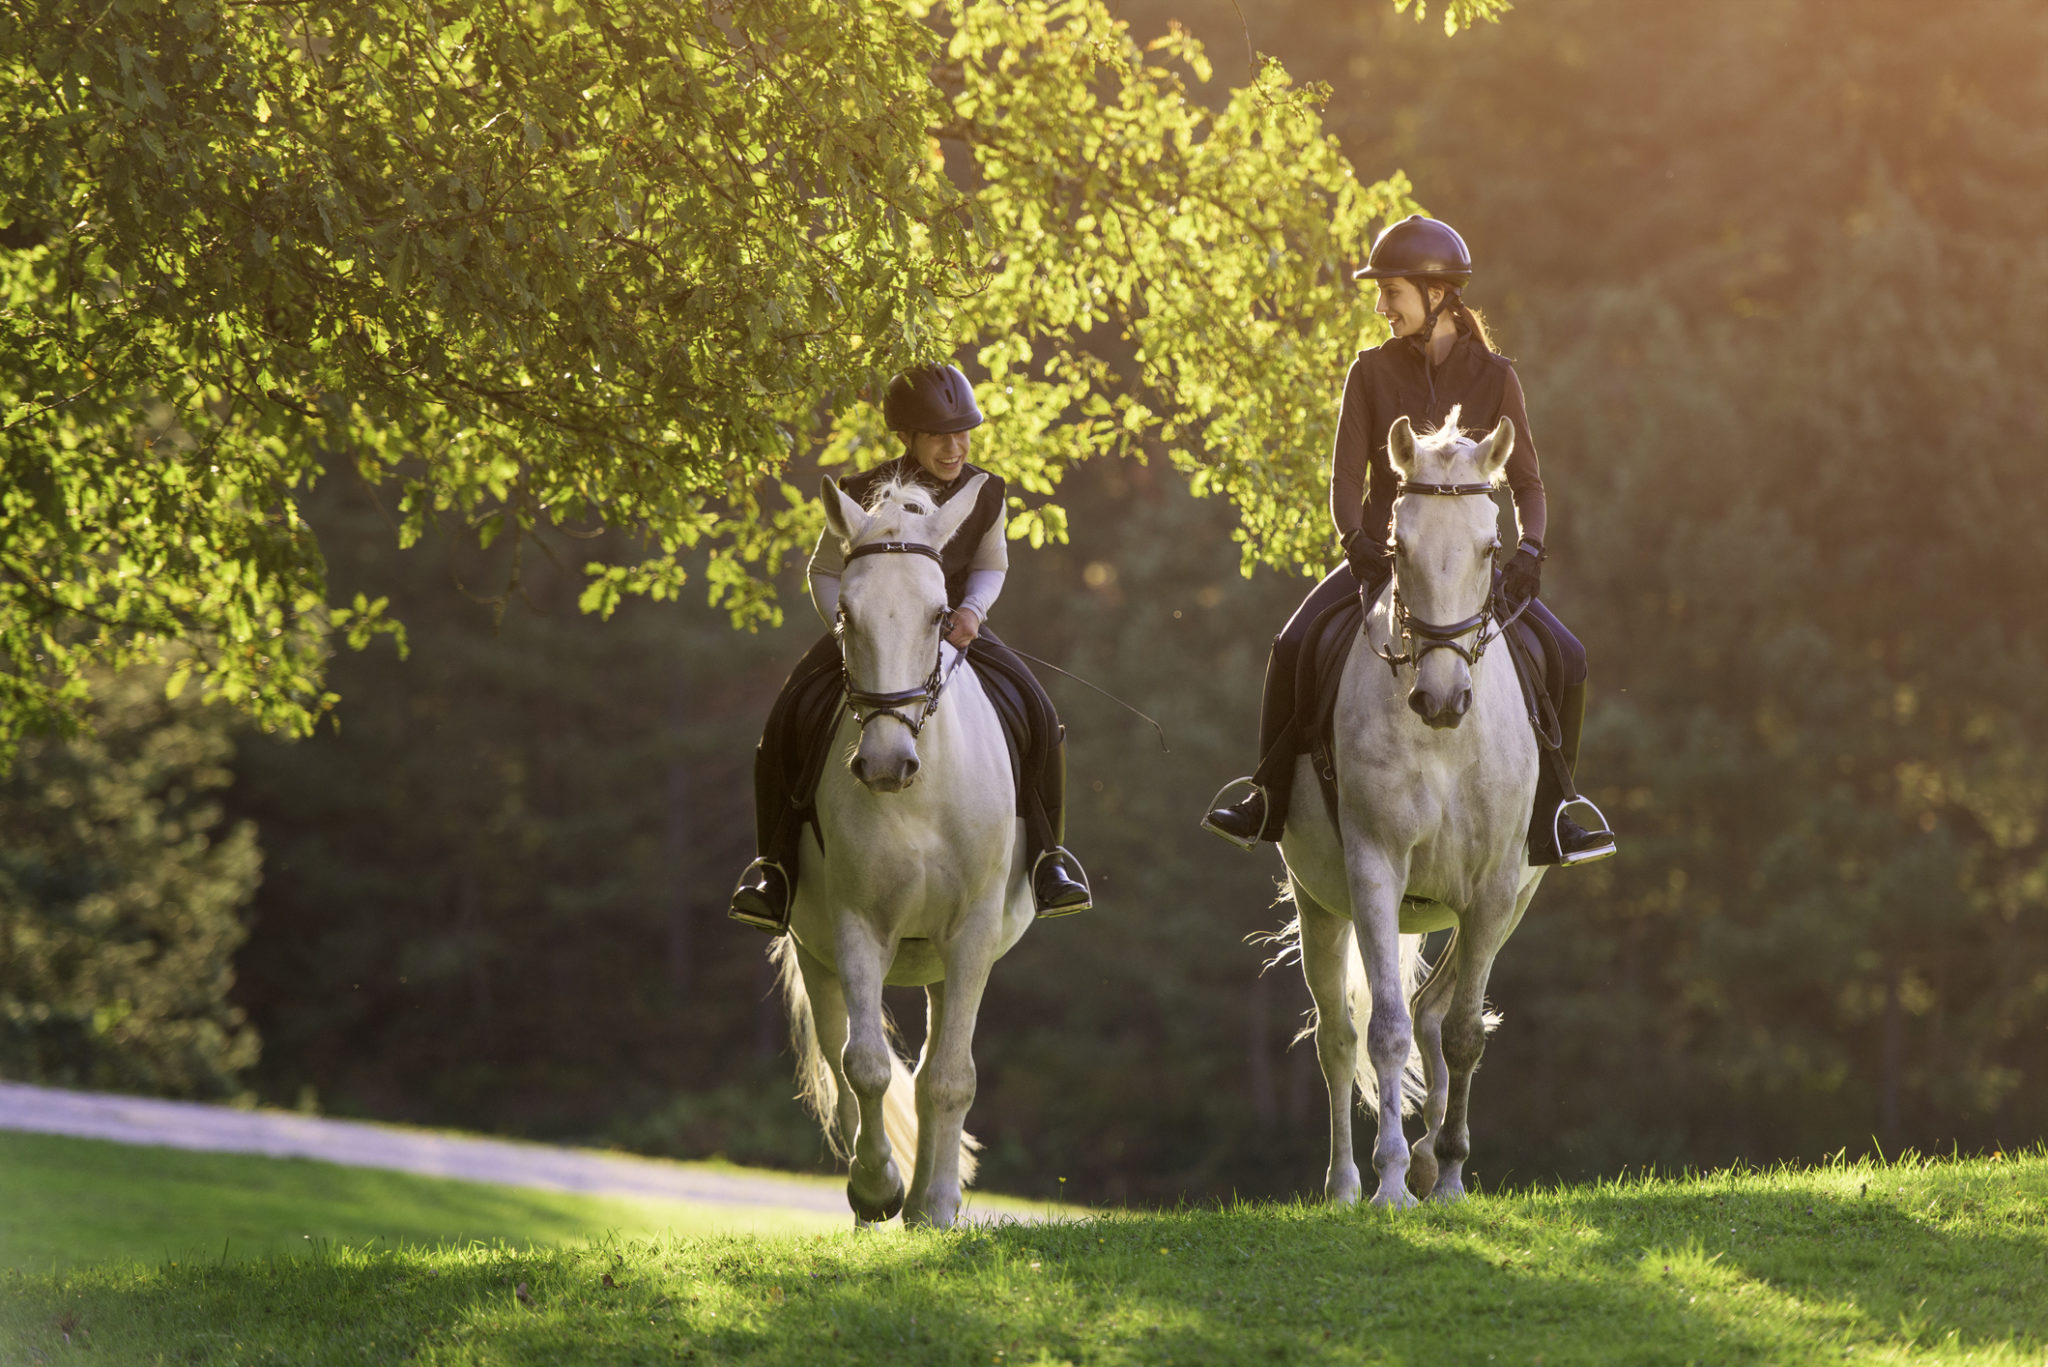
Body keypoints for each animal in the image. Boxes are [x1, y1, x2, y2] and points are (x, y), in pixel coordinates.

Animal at [770, 467, 1032, 1229]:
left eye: (940, 614)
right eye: (846, 614)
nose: (886, 763)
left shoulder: (972, 934)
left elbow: (949, 1078)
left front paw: (937, 1206)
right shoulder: (855, 926)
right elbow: (864, 1065)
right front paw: (876, 1189)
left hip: (948, 963)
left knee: (932, 1072)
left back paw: (925, 1203)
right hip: (817, 952)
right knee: (844, 1059)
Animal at [1269, 413, 1540, 1205]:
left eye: (1491, 547)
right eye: (1399, 548)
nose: (1442, 698)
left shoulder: (1494, 889)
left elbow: (1463, 1033)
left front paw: (1446, 1173)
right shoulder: (1374, 872)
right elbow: (1383, 1029)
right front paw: (1390, 1181)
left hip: (1498, 907)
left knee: (1435, 1012)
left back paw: (1429, 1159)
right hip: (1320, 902)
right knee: (1337, 1036)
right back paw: (1345, 1184)